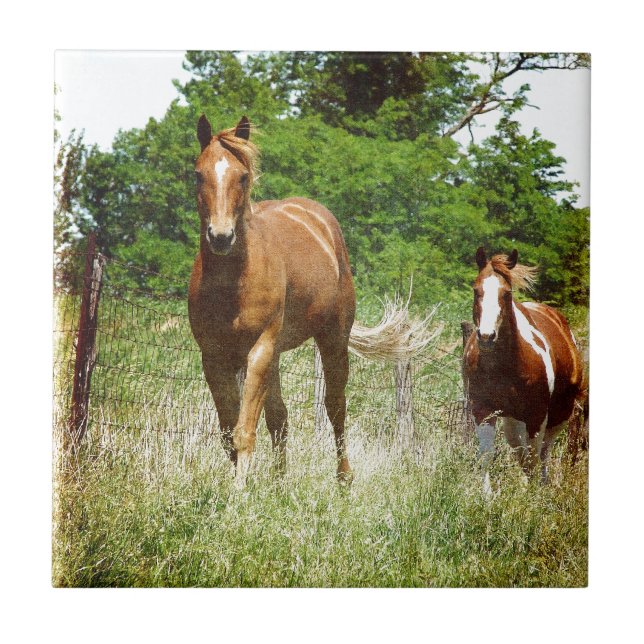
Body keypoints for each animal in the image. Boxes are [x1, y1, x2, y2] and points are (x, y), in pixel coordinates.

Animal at [188, 115, 431, 488]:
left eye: (242, 176)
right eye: (199, 174)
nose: (221, 236)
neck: (233, 283)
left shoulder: (260, 348)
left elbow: (244, 430)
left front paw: (239, 494)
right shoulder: (213, 356)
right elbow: (230, 431)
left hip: (332, 340)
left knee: (335, 406)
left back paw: (344, 480)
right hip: (275, 357)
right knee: (280, 418)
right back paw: (278, 485)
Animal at [462, 247, 585, 493]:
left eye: (507, 293)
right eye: (476, 290)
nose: (486, 337)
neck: (503, 368)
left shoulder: (537, 415)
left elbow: (534, 456)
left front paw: (532, 495)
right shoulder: (482, 410)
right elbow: (488, 454)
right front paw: (486, 496)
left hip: (560, 413)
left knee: (543, 452)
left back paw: (543, 487)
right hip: (513, 421)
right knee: (523, 452)